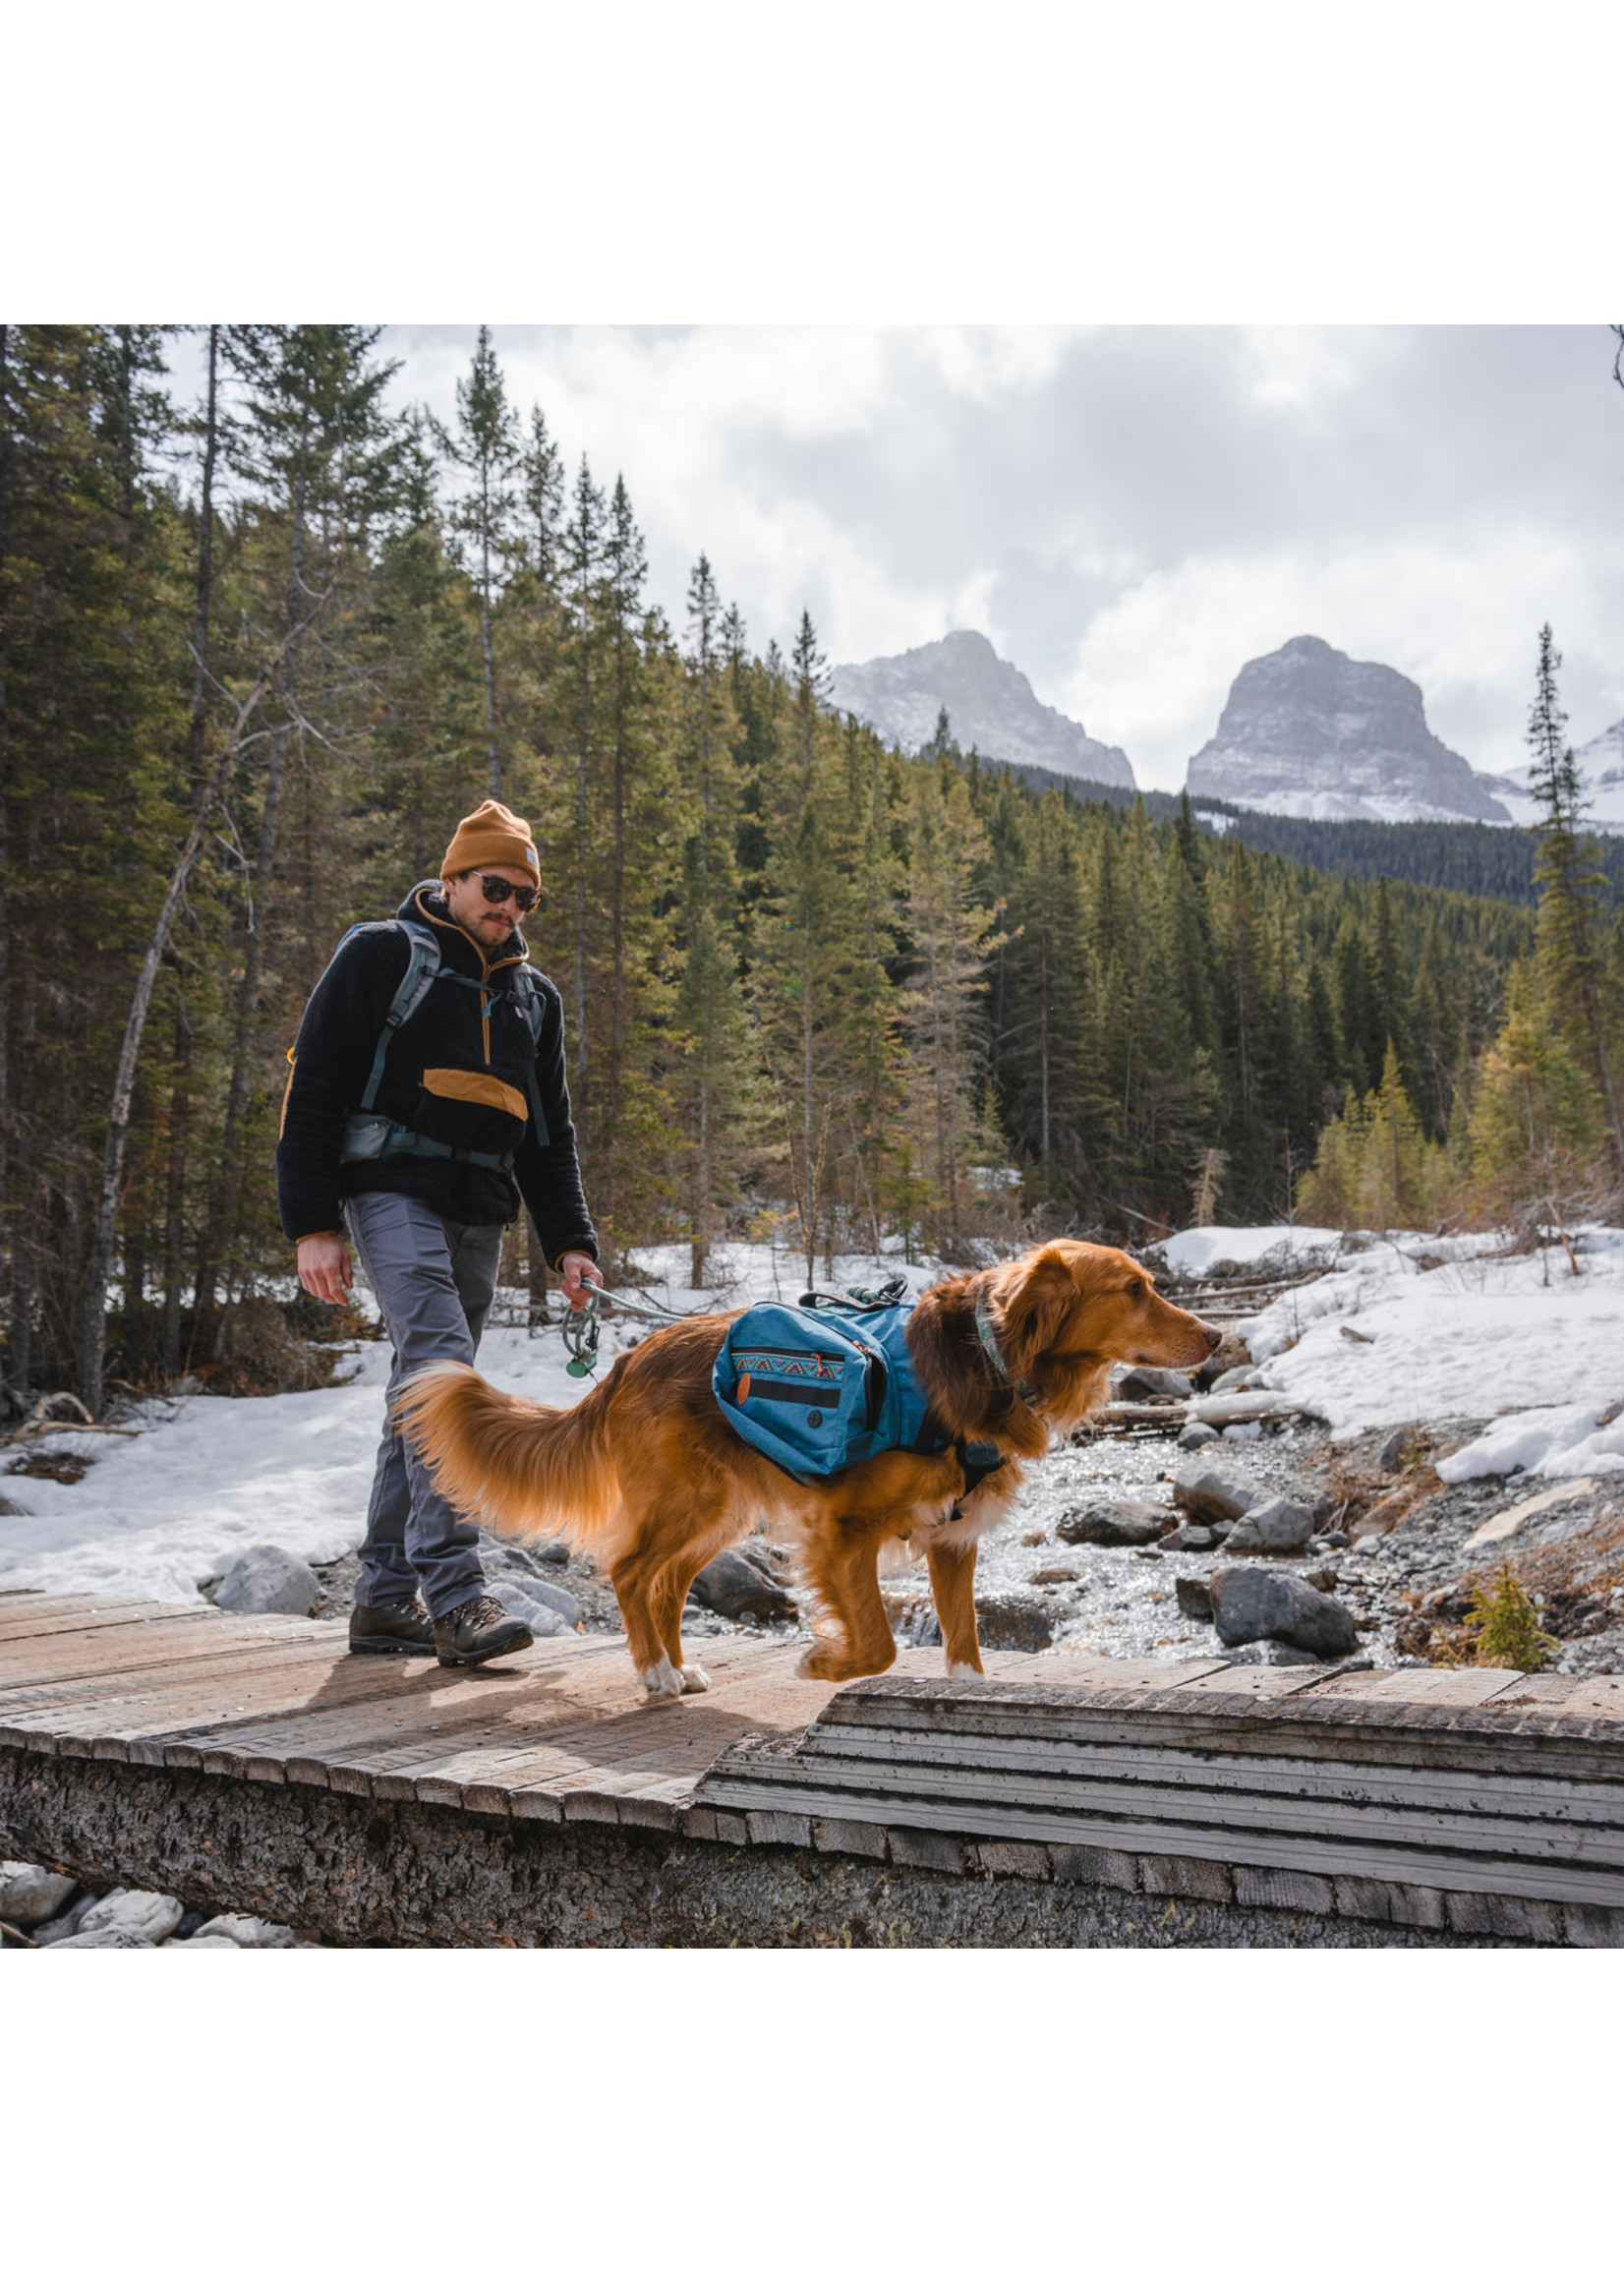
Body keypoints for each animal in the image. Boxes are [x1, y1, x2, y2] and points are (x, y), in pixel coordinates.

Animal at [390, 1237, 1219, 1701]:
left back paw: (679, 1668)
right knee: (629, 1571)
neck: (986, 1356)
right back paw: (654, 1674)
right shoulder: (842, 1530)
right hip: (688, 1503)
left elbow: (964, 1636)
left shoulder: (954, 1540)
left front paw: (969, 1693)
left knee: (665, 1584)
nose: (1215, 1335)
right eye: (1135, 1288)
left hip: (718, 1512)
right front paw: (822, 1663)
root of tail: (630, 1357)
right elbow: (880, 1642)